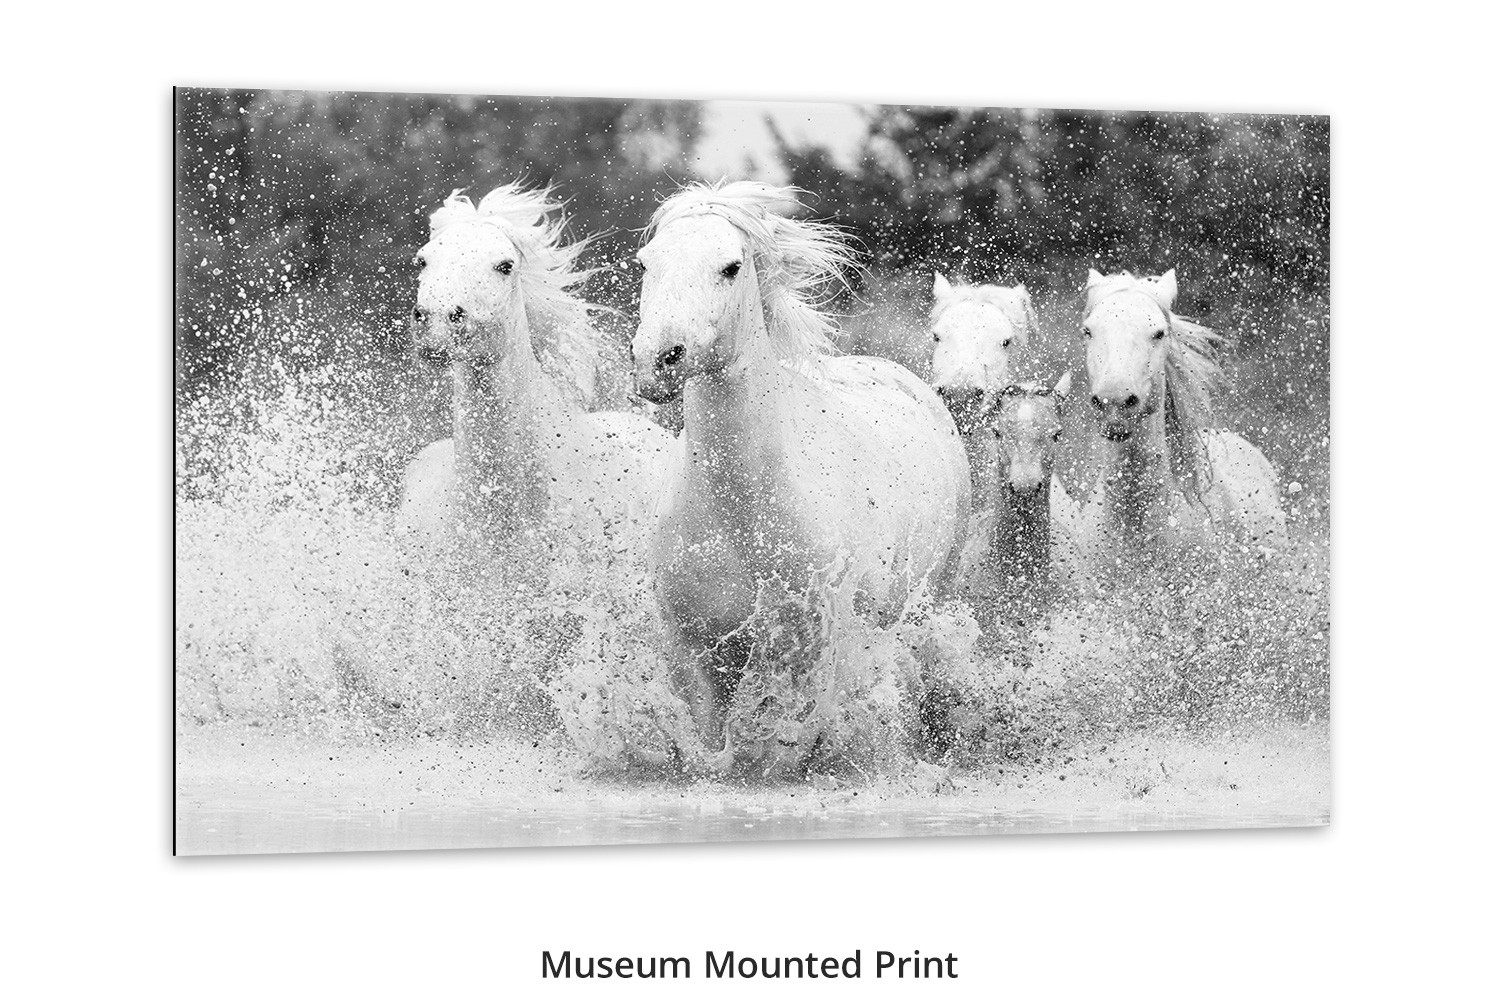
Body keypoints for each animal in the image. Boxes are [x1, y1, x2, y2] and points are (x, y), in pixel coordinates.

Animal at [631, 181, 971, 773]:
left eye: (731, 267)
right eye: (647, 262)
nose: (659, 360)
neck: (742, 506)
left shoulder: (818, 639)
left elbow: (792, 732)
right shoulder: (690, 644)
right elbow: (712, 741)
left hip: (928, 599)